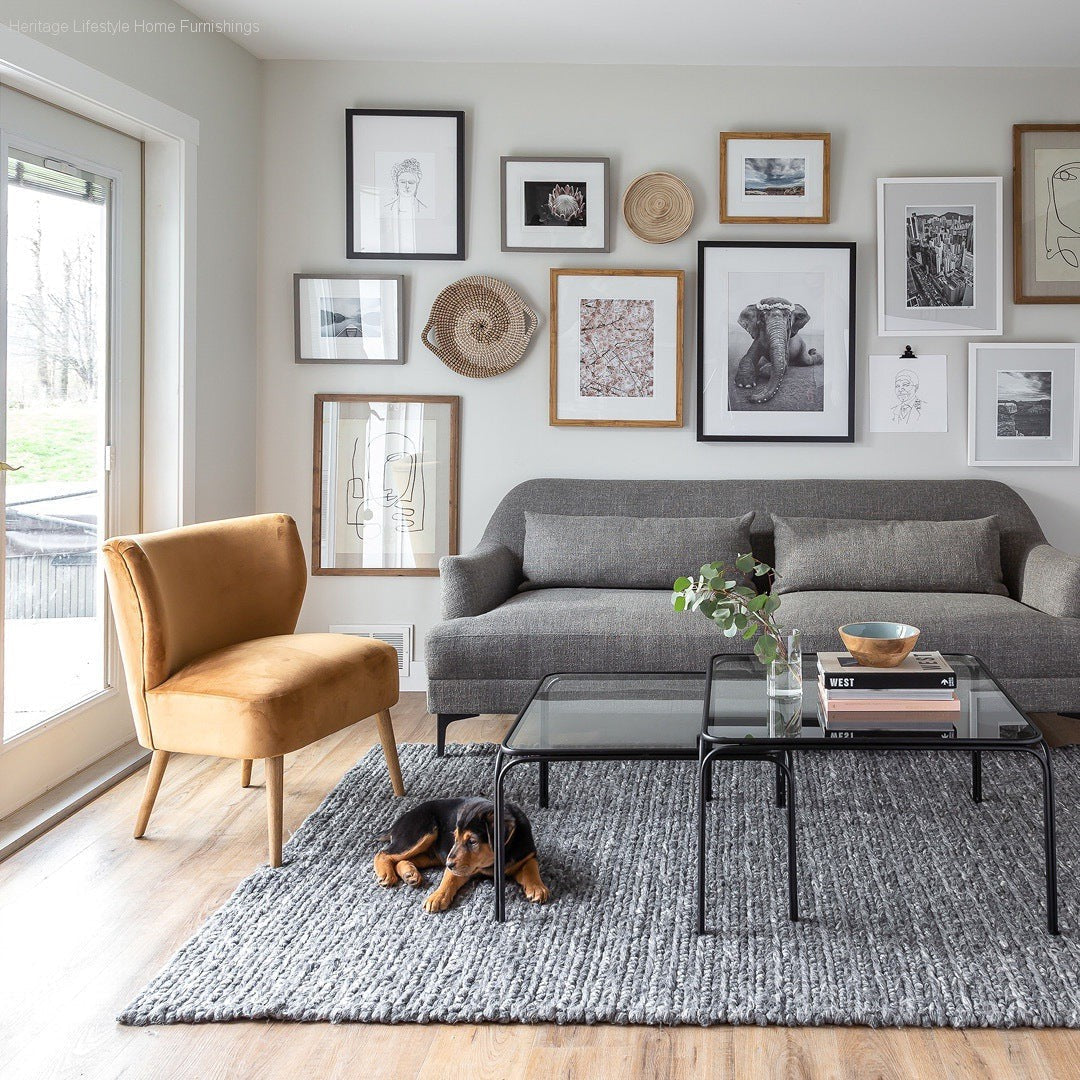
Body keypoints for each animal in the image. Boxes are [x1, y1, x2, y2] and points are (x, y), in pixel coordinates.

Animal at [375, 794, 552, 911]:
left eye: (472, 841)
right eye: (455, 837)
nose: (449, 863)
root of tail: (398, 821)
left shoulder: (527, 855)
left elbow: (531, 868)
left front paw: (537, 888)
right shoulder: (458, 865)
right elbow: (449, 878)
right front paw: (437, 897)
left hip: (430, 854)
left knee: (401, 859)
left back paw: (409, 874)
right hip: (421, 831)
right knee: (383, 853)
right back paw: (387, 874)